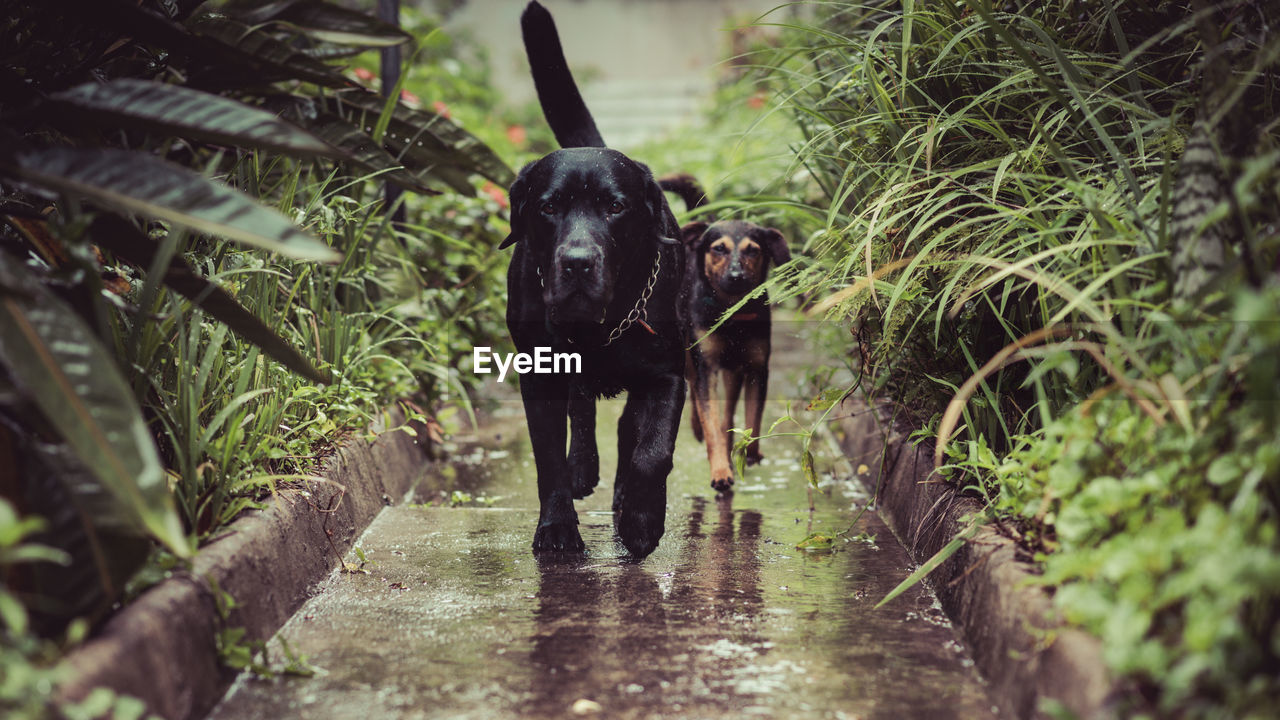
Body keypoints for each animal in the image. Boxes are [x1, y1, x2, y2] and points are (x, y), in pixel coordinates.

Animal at [496, 1, 686, 556]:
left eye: (615, 207)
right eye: (549, 206)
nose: (578, 261)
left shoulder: (668, 373)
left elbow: (652, 452)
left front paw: (641, 520)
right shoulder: (538, 373)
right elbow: (548, 458)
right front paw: (558, 527)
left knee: (625, 429)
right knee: (581, 412)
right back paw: (585, 470)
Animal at [660, 170, 788, 489]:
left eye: (753, 251)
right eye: (719, 249)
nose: (736, 275)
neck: (732, 314)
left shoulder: (756, 368)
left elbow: (752, 420)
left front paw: (749, 452)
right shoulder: (706, 365)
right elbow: (711, 423)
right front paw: (720, 470)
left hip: (733, 371)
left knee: (728, 414)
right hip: (690, 355)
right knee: (697, 398)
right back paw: (698, 429)